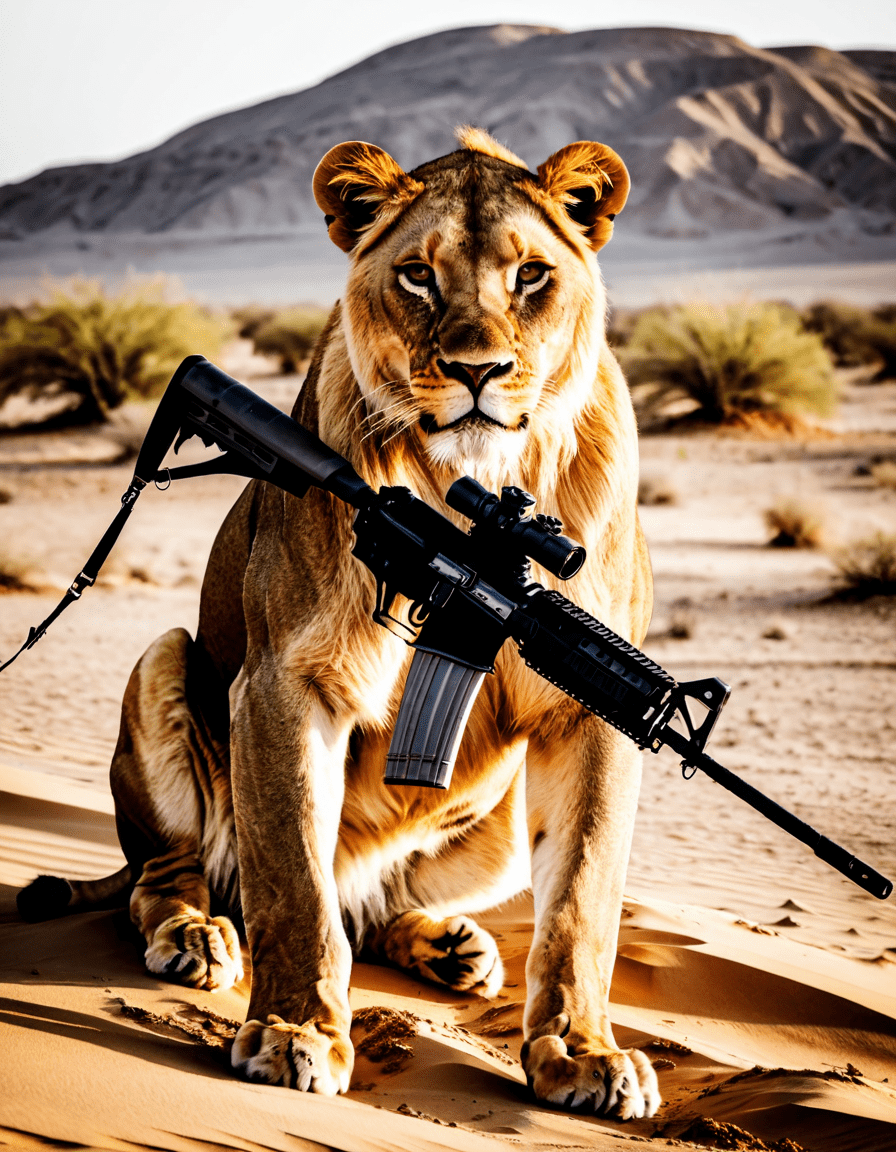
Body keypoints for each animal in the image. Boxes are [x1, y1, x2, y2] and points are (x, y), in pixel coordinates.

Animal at [19, 127, 660, 1118]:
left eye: (532, 276)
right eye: (418, 276)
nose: (478, 373)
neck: (469, 484)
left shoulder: (586, 718)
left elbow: (585, 896)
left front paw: (583, 1053)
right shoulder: (284, 681)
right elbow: (295, 880)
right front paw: (296, 1033)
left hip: (497, 822)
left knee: (372, 904)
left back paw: (450, 946)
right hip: (162, 662)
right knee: (174, 879)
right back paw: (197, 936)